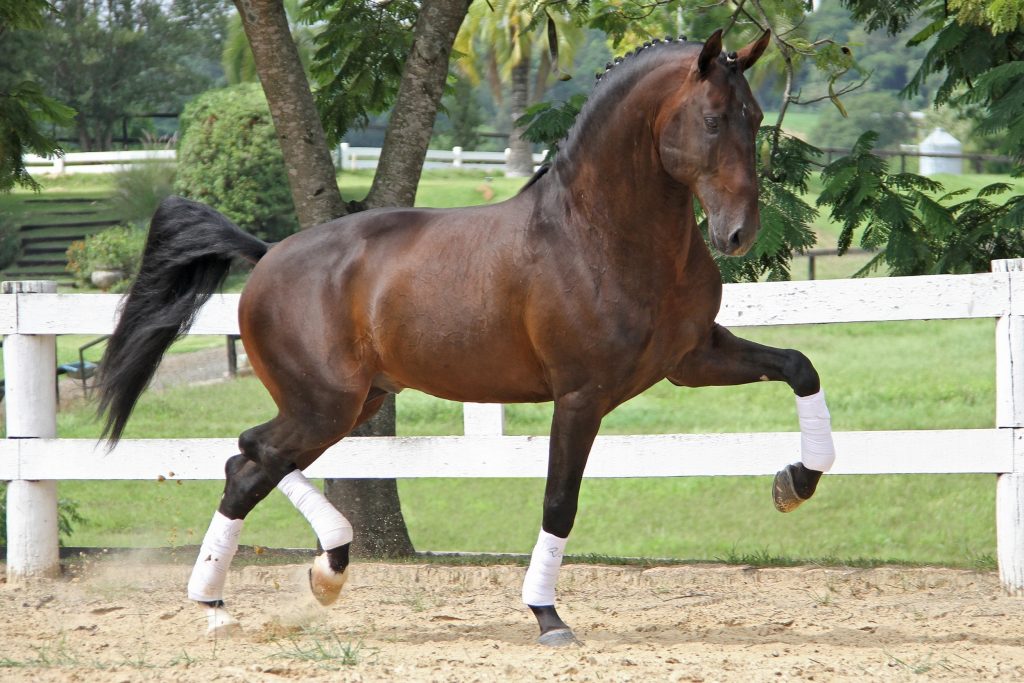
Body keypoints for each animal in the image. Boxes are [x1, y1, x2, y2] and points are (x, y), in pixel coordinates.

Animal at [94, 28, 831, 647]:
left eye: (755, 118)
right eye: (712, 119)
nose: (738, 234)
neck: (600, 234)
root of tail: (267, 254)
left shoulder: (690, 358)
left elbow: (800, 366)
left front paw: (794, 482)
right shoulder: (581, 395)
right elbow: (560, 501)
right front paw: (547, 615)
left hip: (351, 403)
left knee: (247, 457)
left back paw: (306, 578)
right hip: (325, 405)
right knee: (252, 462)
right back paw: (231, 601)